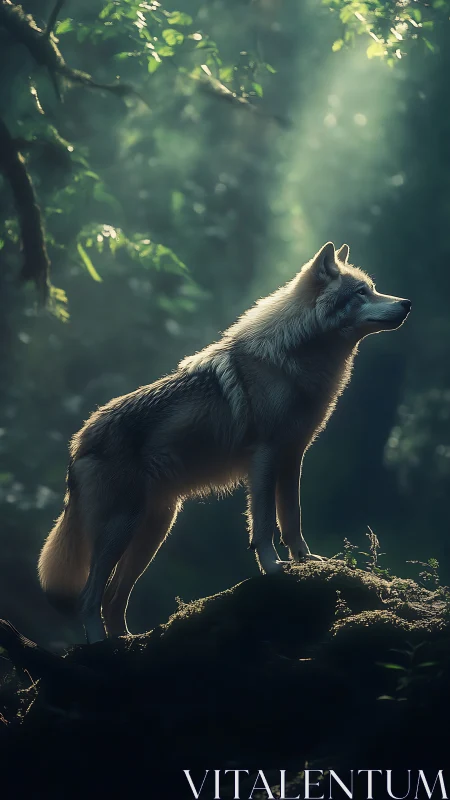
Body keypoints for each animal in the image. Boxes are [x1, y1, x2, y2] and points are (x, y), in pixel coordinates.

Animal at [38, 242, 411, 642]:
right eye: (362, 292)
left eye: (373, 289)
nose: (406, 303)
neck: (294, 358)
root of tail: (78, 441)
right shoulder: (264, 456)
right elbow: (264, 524)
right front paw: (274, 569)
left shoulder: (293, 456)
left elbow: (291, 518)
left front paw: (306, 562)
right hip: (123, 529)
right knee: (89, 598)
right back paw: (100, 646)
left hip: (152, 530)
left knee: (112, 598)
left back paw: (128, 641)